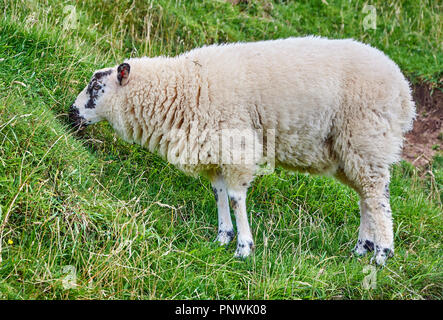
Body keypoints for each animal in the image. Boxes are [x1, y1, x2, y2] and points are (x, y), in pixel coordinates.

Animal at [69, 36, 416, 264]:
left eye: (96, 88)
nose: (72, 112)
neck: (181, 87)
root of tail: (404, 92)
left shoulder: (235, 145)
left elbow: (237, 198)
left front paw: (244, 247)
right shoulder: (213, 150)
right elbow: (219, 193)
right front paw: (223, 237)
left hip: (366, 138)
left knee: (377, 196)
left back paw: (381, 254)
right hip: (348, 151)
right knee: (365, 197)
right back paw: (361, 247)